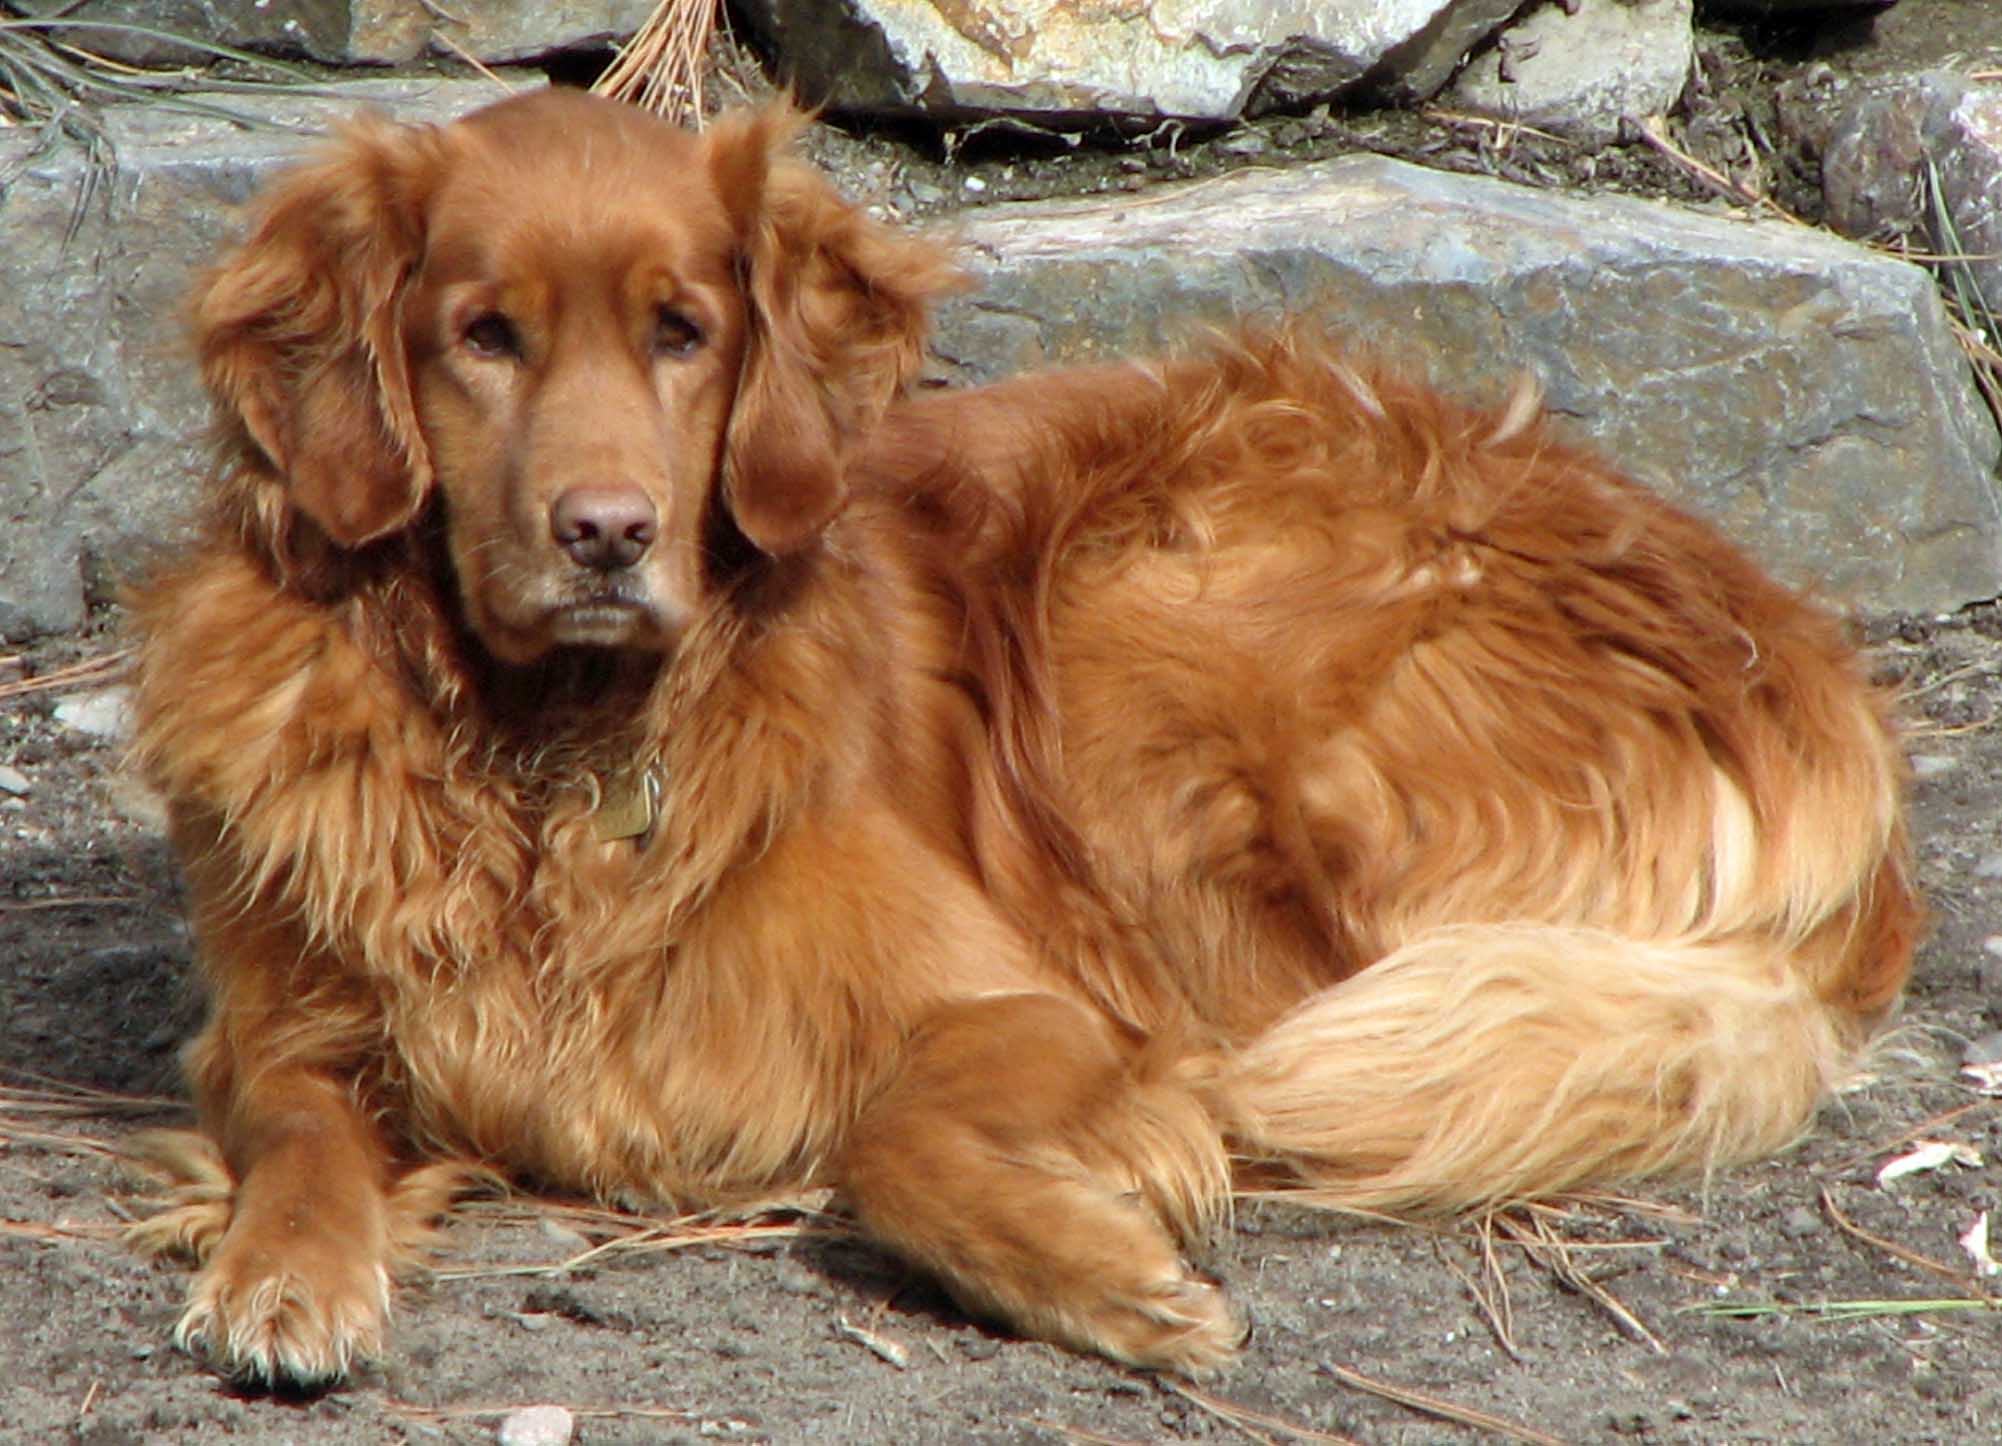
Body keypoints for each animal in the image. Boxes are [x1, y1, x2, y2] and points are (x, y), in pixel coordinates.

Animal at [129, 81, 1921, 1385]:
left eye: (679, 331)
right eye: (482, 336)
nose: (606, 534)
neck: (547, 756)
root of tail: (1804, 661)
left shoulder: (1038, 1000)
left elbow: (891, 1130)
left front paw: (1101, 1266)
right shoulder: (276, 1023)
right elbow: (295, 1128)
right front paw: (287, 1271)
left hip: (1148, 620)